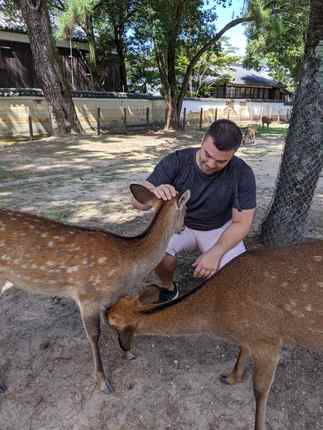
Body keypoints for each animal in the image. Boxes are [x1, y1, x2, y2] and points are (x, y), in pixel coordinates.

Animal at [0, 184, 191, 394]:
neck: (128, 265)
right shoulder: (87, 296)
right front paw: (102, 381)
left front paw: (128, 353)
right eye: (186, 209)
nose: (183, 227)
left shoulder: (110, 298)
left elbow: (112, 321)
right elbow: (94, 335)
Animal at [107, 242, 323, 430]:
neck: (219, 318)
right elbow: (242, 350)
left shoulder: (268, 340)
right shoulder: (249, 336)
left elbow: (260, 390)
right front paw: (231, 378)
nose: (125, 352)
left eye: (109, 322)